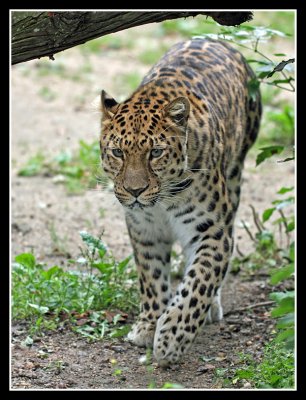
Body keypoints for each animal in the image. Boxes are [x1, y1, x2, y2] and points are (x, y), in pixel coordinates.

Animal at [99, 37, 262, 366]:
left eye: (155, 153)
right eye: (118, 152)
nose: (135, 191)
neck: (162, 202)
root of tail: (214, 39)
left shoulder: (213, 230)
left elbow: (199, 281)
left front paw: (172, 337)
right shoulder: (144, 231)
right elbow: (151, 277)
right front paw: (150, 324)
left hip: (236, 175)